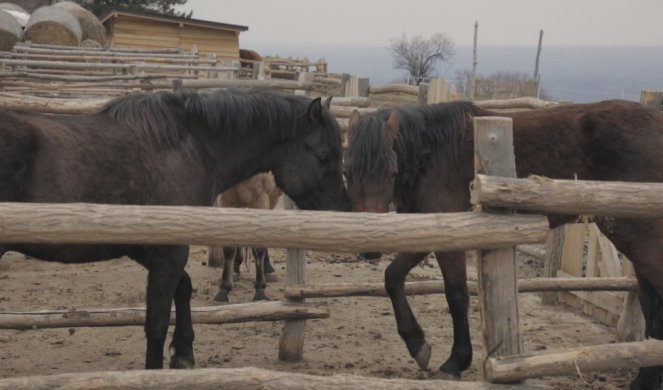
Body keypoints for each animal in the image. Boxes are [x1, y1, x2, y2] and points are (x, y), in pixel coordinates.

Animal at [0, 87, 352, 368]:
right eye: (324, 156)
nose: (344, 212)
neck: (187, 147)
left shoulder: (151, 248)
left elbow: (183, 288)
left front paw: (183, 353)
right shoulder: (167, 251)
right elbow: (156, 322)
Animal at [344, 99, 663, 388]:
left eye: (391, 172)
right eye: (347, 172)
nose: (369, 249)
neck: (434, 155)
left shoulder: (451, 237)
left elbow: (456, 295)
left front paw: (455, 362)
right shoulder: (429, 231)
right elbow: (392, 278)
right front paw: (418, 345)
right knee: (650, 301)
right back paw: (644, 378)